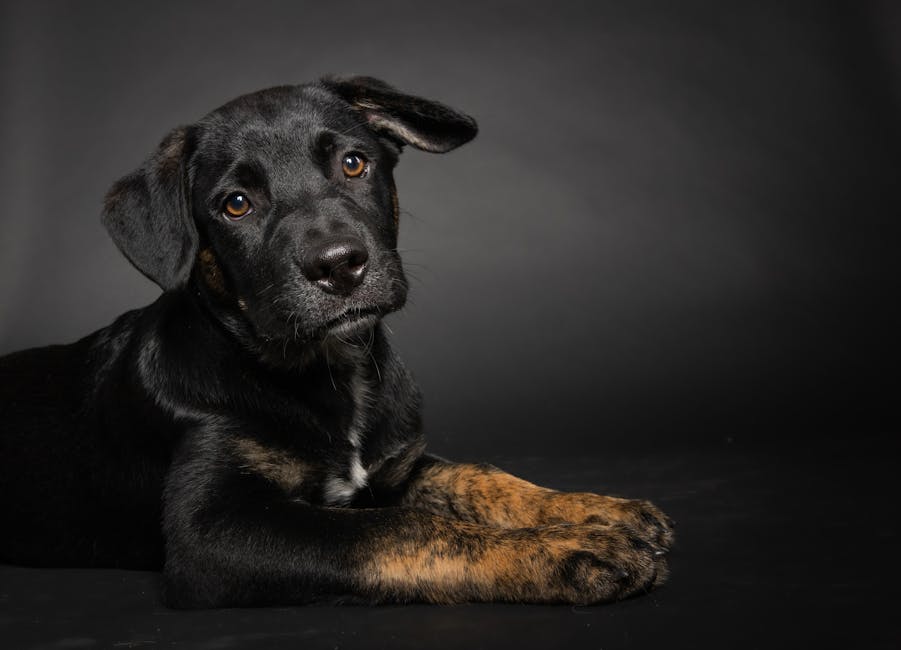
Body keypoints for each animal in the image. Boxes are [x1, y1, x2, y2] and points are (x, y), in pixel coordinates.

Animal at [0, 77, 672, 608]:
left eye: (353, 163)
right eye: (236, 204)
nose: (340, 266)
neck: (329, 372)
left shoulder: (396, 466)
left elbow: (481, 477)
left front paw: (597, 510)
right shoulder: (210, 533)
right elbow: (400, 529)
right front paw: (572, 551)